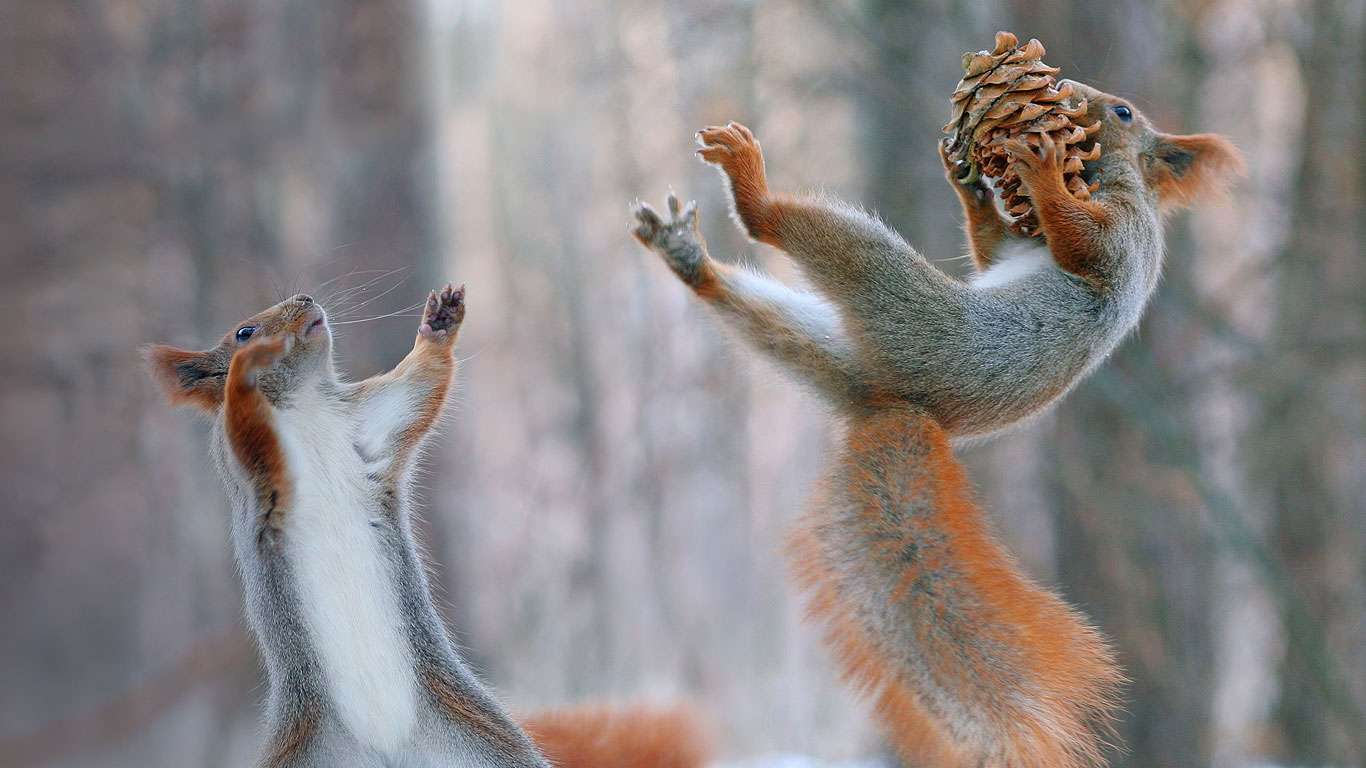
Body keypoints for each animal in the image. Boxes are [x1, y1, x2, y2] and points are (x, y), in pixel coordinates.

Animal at [144, 287, 709, 768]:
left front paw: (439, 324)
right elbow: (244, 419)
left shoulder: (369, 423)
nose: (305, 298)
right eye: (242, 332)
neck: (302, 403)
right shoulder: (249, 463)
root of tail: (388, 751)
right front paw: (245, 370)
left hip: (486, 744)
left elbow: (417, 387)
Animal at [630, 81, 1241, 768]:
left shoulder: (1124, 234)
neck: (1107, 176)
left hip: (899, 303)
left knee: (798, 234)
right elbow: (993, 247)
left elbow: (1084, 243)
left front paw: (1041, 172)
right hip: (831, 349)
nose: (1069, 93)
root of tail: (900, 404)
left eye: (1124, 113)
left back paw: (750, 187)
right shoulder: (1019, 244)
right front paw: (970, 183)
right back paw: (689, 259)